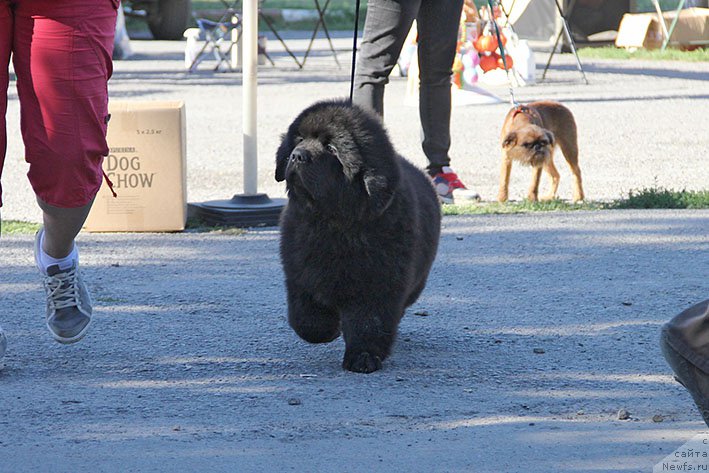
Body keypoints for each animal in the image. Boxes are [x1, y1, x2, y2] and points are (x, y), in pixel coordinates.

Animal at [276, 99, 436, 372]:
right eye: (299, 139)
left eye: (331, 148)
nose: (297, 155)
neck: (333, 223)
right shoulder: (299, 274)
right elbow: (305, 318)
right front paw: (327, 330)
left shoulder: (377, 284)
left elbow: (369, 323)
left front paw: (363, 357)